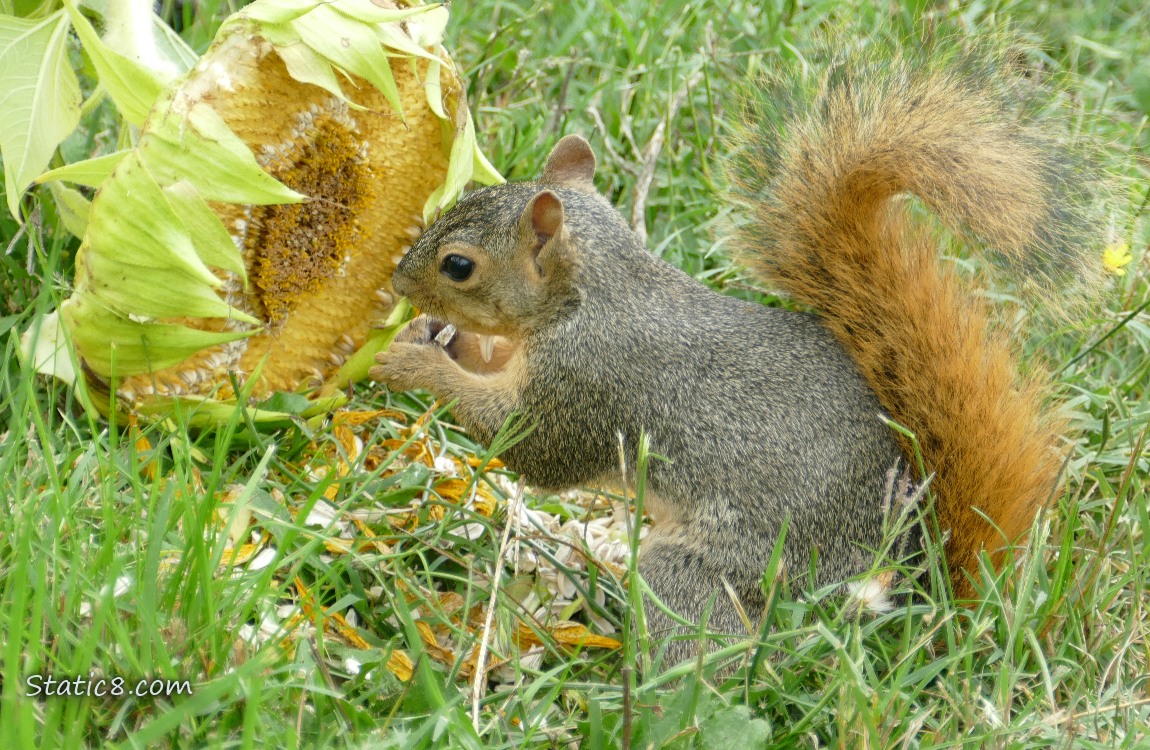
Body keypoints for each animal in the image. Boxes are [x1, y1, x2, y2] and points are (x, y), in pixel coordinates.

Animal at [368, 39, 1104, 662]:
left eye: (458, 266)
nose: (397, 283)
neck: (593, 294)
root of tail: (910, 592)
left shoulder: (591, 386)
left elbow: (529, 446)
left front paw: (408, 360)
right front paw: (440, 338)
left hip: (719, 573)